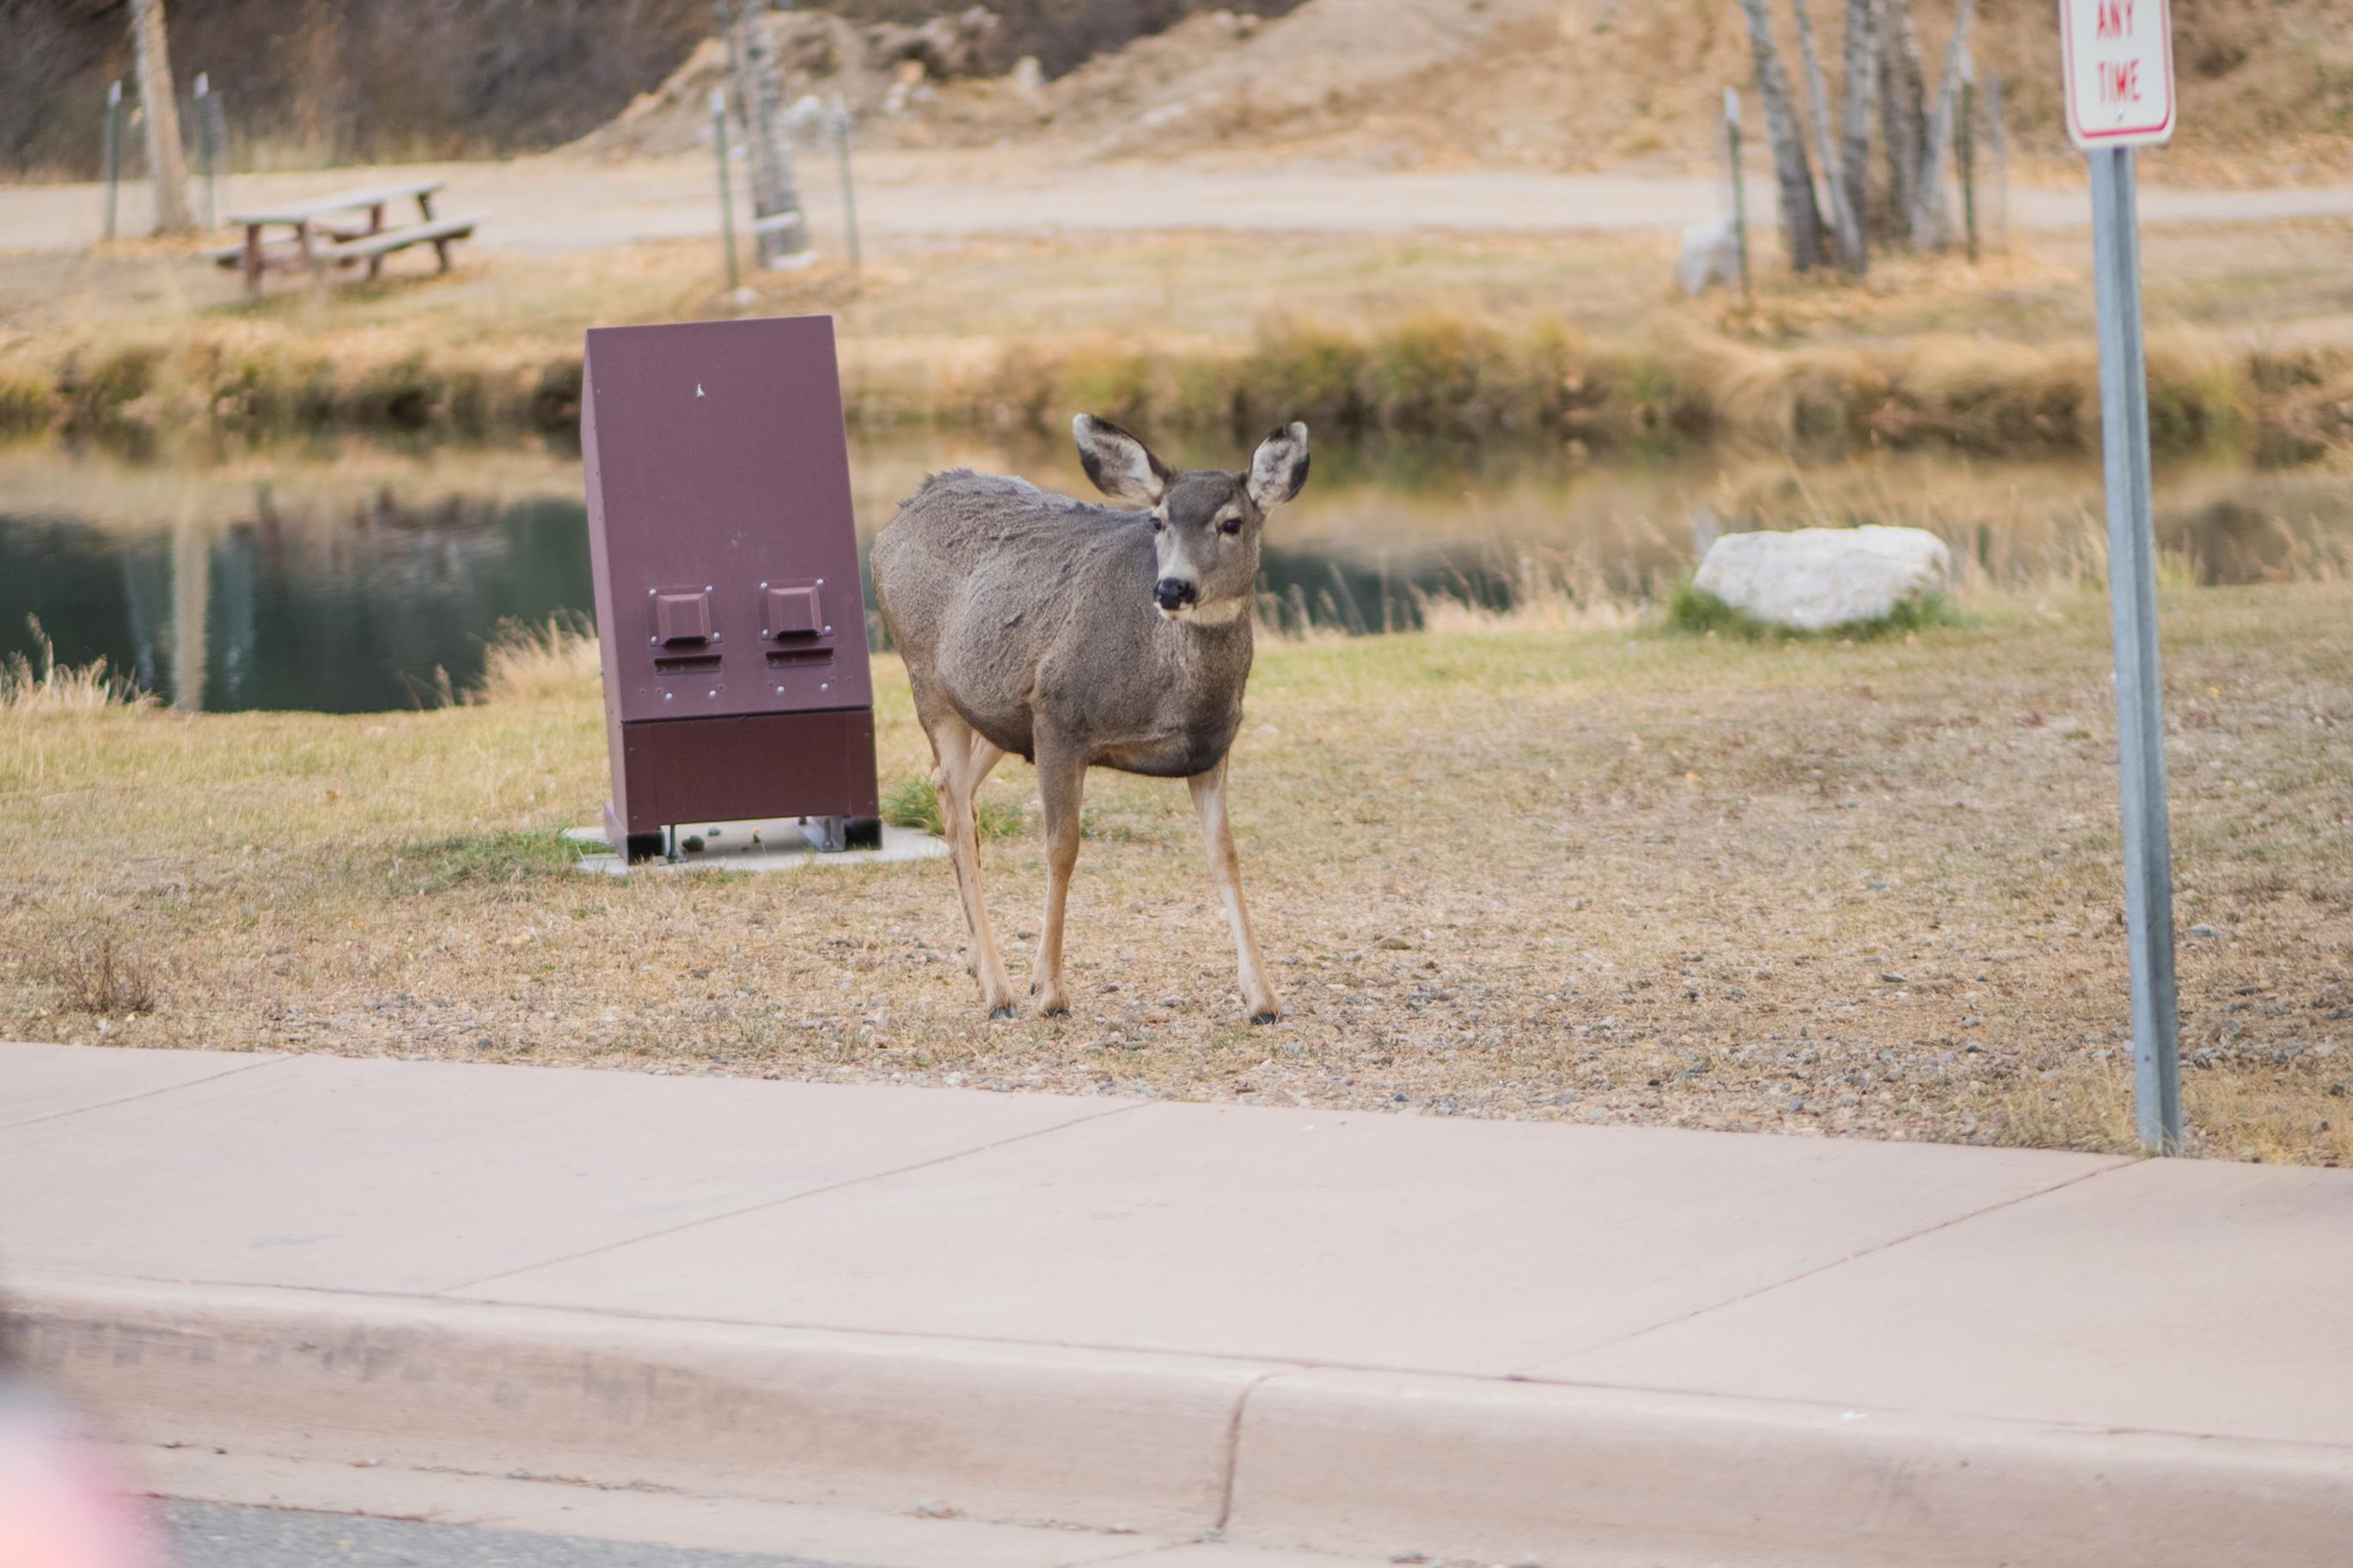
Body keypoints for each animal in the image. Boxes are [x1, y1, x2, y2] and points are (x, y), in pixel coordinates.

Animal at [871, 413, 1308, 1020]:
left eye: (1232, 523)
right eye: (1157, 520)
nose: (1172, 587)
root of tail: (904, 508)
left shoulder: (1210, 748)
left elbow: (1226, 855)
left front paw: (1263, 996)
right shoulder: (1059, 715)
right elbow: (1062, 849)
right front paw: (1050, 990)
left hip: (993, 710)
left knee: (946, 787)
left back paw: (979, 965)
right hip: (924, 676)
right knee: (955, 808)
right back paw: (999, 990)